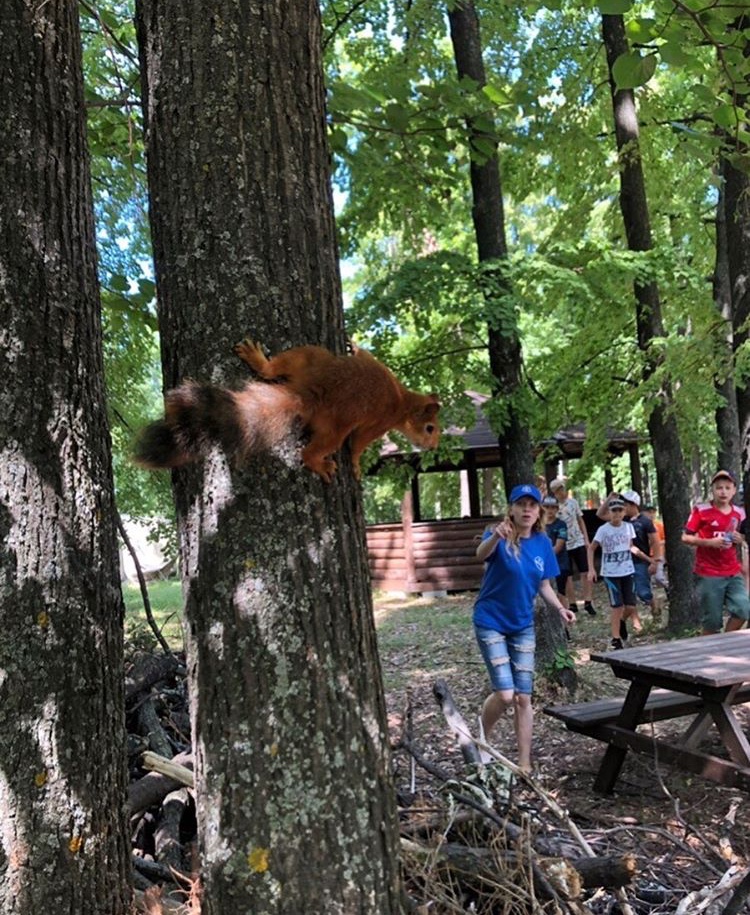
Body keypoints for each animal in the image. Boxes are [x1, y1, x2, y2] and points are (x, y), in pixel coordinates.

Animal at [134, 338, 441, 482]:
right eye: (430, 428)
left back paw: (258, 359)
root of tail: (311, 391)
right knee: (314, 451)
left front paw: (352, 345)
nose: (433, 447)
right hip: (334, 426)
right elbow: (357, 445)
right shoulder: (378, 423)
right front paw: (355, 465)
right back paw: (319, 463)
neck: (402, 399)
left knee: (272, 370)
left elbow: (363, 354)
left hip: (307, 357)